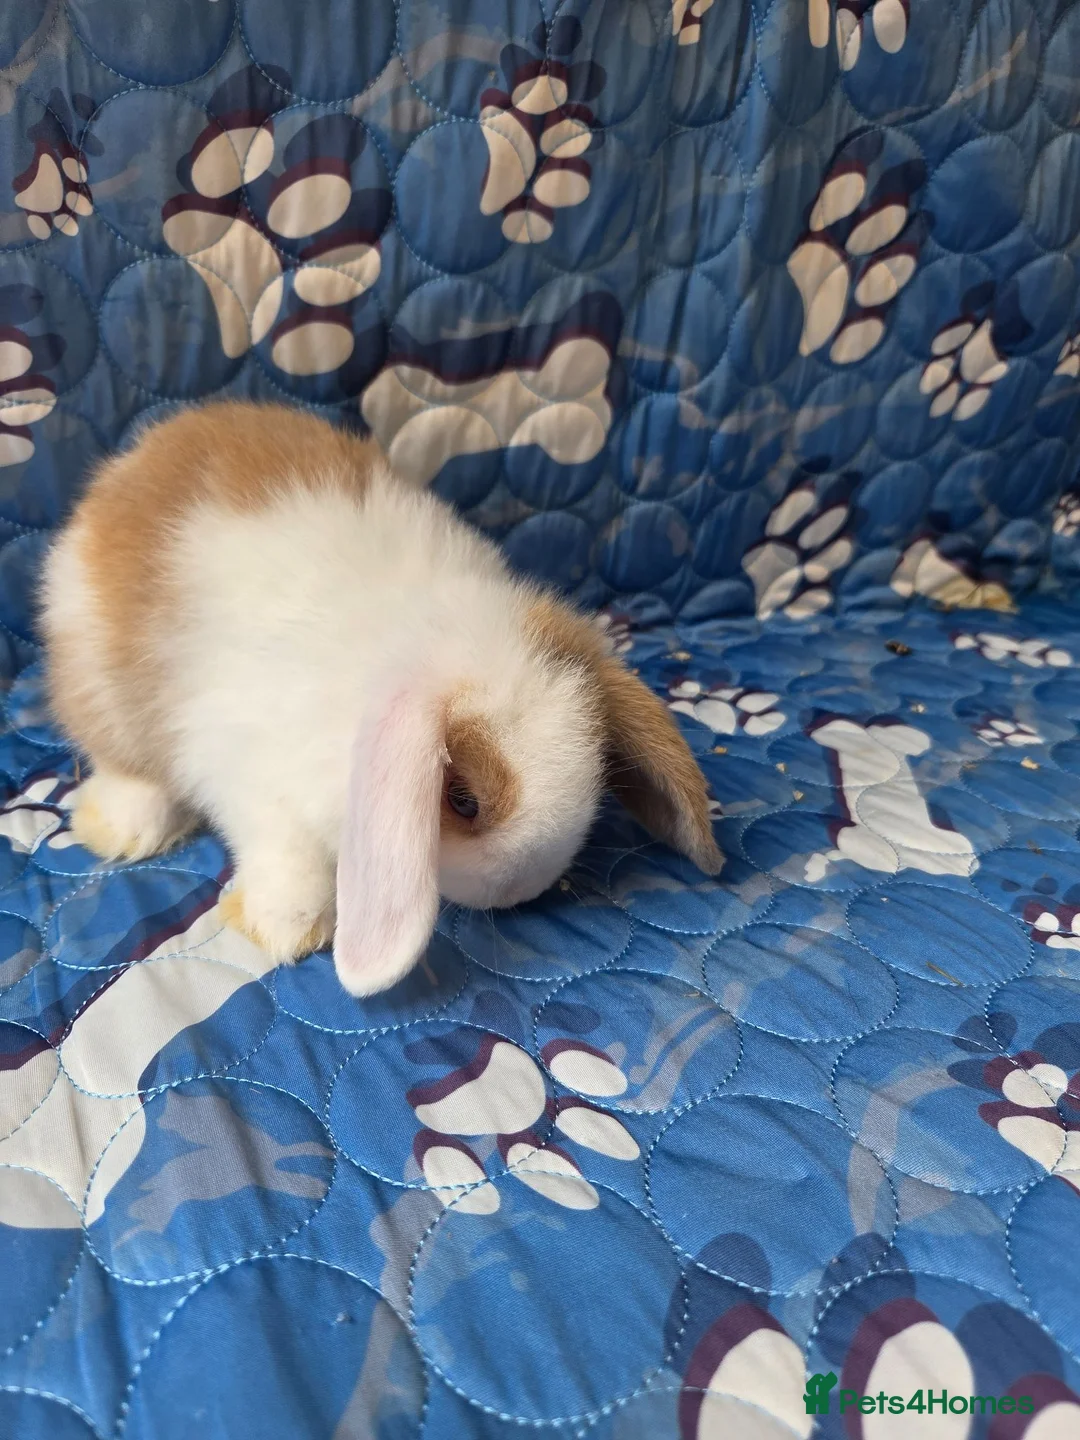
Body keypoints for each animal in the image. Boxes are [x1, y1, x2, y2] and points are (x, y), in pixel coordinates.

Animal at [40, 401, 723, 996]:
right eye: (463, 800)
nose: (518, 891)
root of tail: (133, 461)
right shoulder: (251, 780)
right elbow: (285, 854)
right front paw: (287, 929)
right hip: (100, 678)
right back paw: (124, 831)